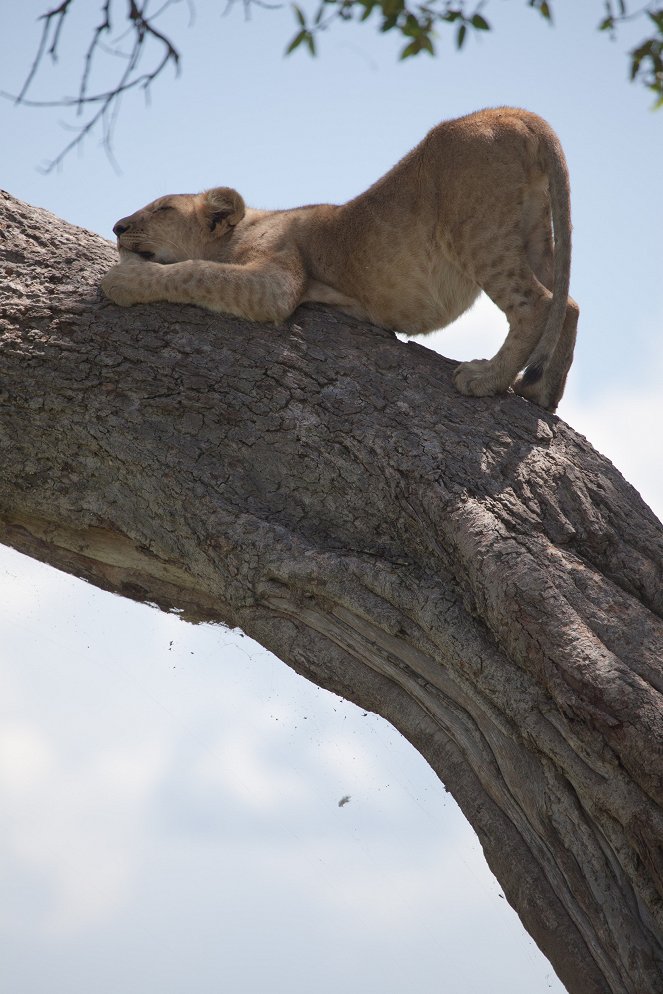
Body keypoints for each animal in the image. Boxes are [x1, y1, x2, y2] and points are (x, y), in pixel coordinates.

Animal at [101, 110, 580, 412]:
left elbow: (195, 271)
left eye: (162, 209)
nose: (118, 227)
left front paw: (121, 281)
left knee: (535, 302)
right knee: (568, 302)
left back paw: (486, 378)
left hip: (477, 228)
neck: (248, 226)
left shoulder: (278, 277)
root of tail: (516, 114)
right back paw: (540, 392)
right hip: (533, 225)